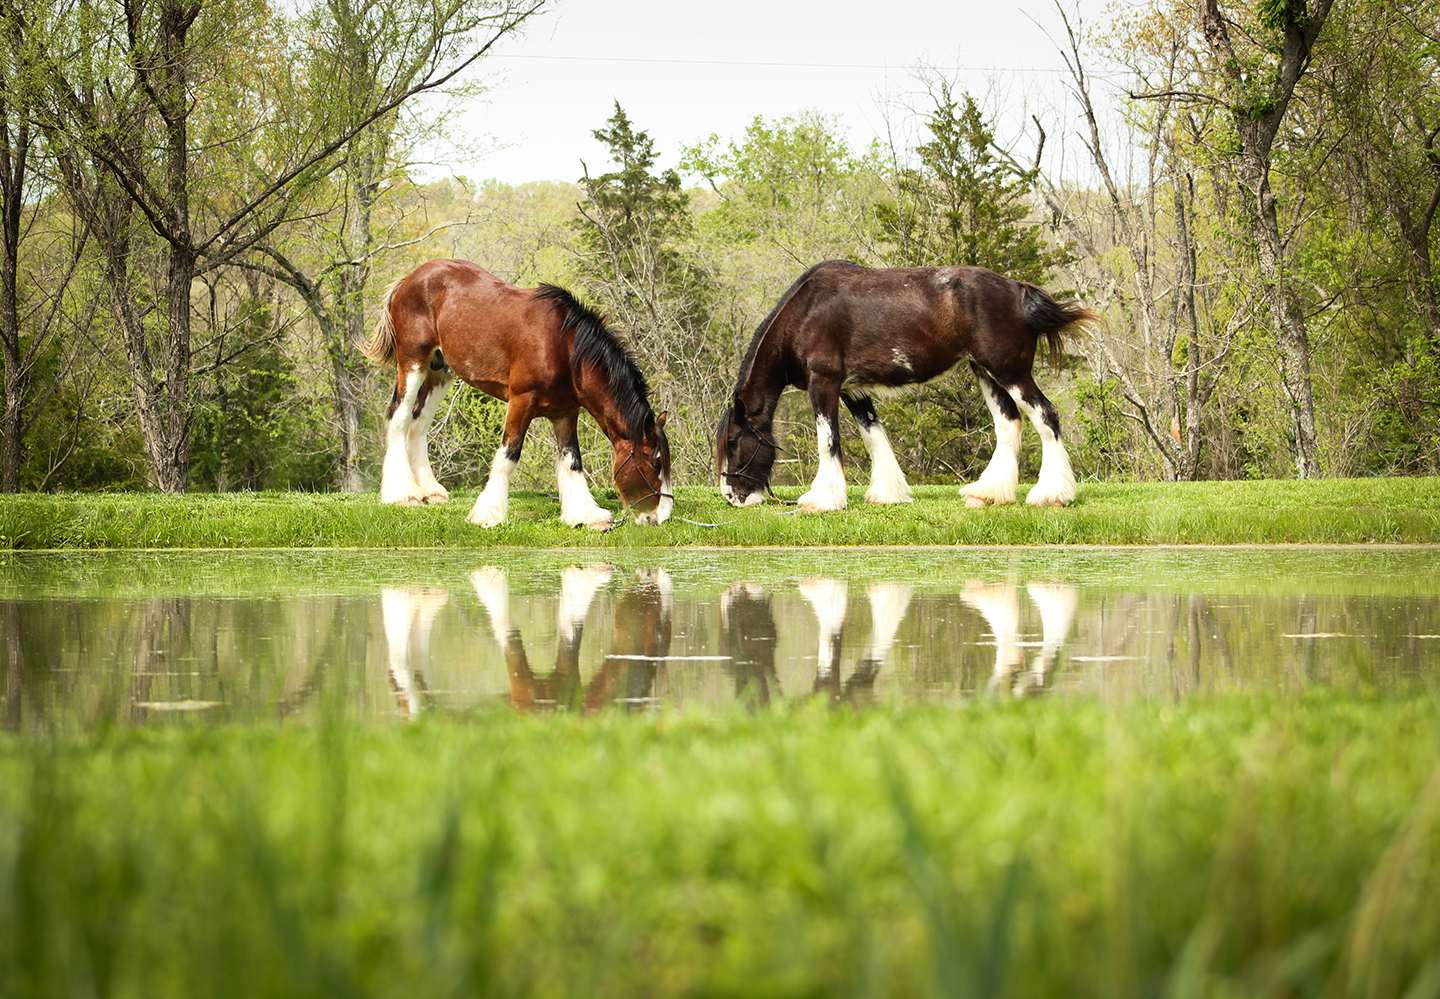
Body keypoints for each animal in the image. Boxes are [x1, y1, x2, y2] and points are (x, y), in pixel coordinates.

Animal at [362, 259, 672, 529]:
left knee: (419, 423)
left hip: (442, 370)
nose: (662, 517)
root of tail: (410, 278)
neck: (563, 347)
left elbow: (572, 461)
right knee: (400, 418)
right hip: (413, 361)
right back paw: (403, 493)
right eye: (655, 462)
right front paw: (488, 514)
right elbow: (508, 455)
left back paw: (428, 490)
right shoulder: (522, 401)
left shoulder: (565, 412)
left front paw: (585, 514)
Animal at [716, 260, 1096, 512]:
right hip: (985, 372)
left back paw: (1051, 495)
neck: (806, 313)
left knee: (1046, 417)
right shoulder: (853, 389)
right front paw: (888, 493)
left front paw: (822, 499)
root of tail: (1018, 290)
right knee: (1008, 423)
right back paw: (987, 493)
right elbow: (874, 435)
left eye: (733, 441)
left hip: (1010, 371)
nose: (731, 496)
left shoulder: (823, 382)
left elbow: (829, 440)